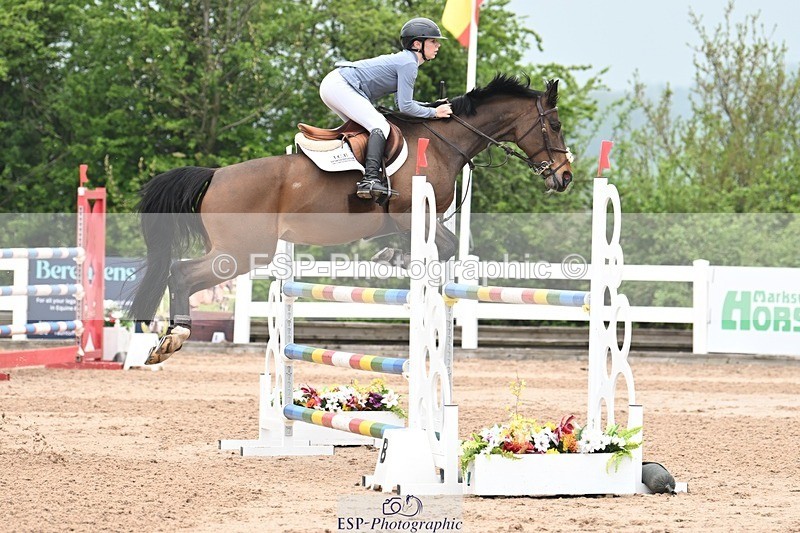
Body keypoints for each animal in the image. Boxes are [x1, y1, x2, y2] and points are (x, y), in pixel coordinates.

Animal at [130, 74, 574, 363]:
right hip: (239, 252)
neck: (446, 143)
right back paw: (173, 339)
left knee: (179, 271)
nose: (565, 177)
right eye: (554, 125)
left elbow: (438, 247)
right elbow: (444, 247)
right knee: (181, 273)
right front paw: (396, 261)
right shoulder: (411, 215)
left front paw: (392, 259)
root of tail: (215, 175)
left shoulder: (416, 220)